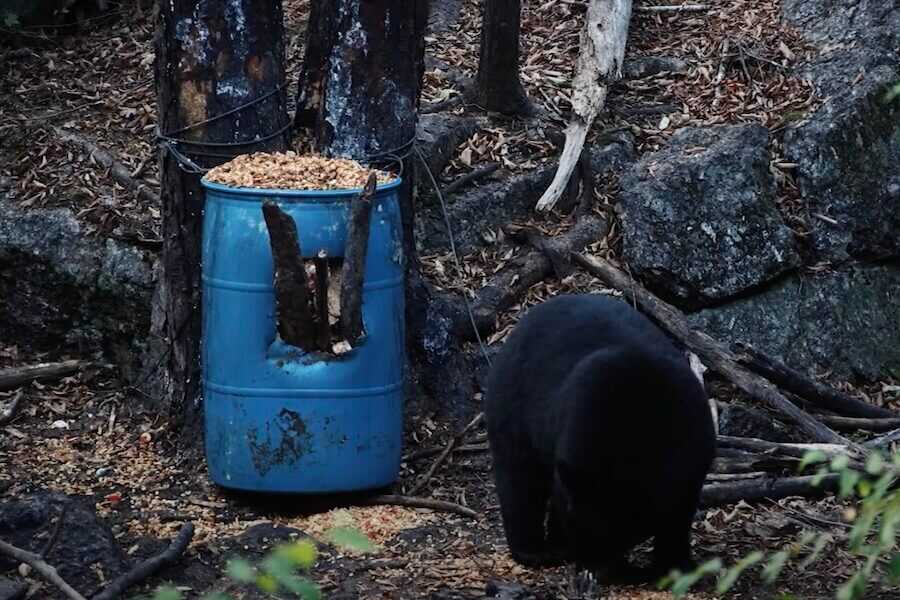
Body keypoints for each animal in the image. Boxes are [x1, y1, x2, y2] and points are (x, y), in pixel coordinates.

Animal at [484, 293, 716, 581]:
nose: (594, 570)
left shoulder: (692, 447)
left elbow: (679, 511)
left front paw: (676, 564)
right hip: (511, 406)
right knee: (518, 476)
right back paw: (533, 550)